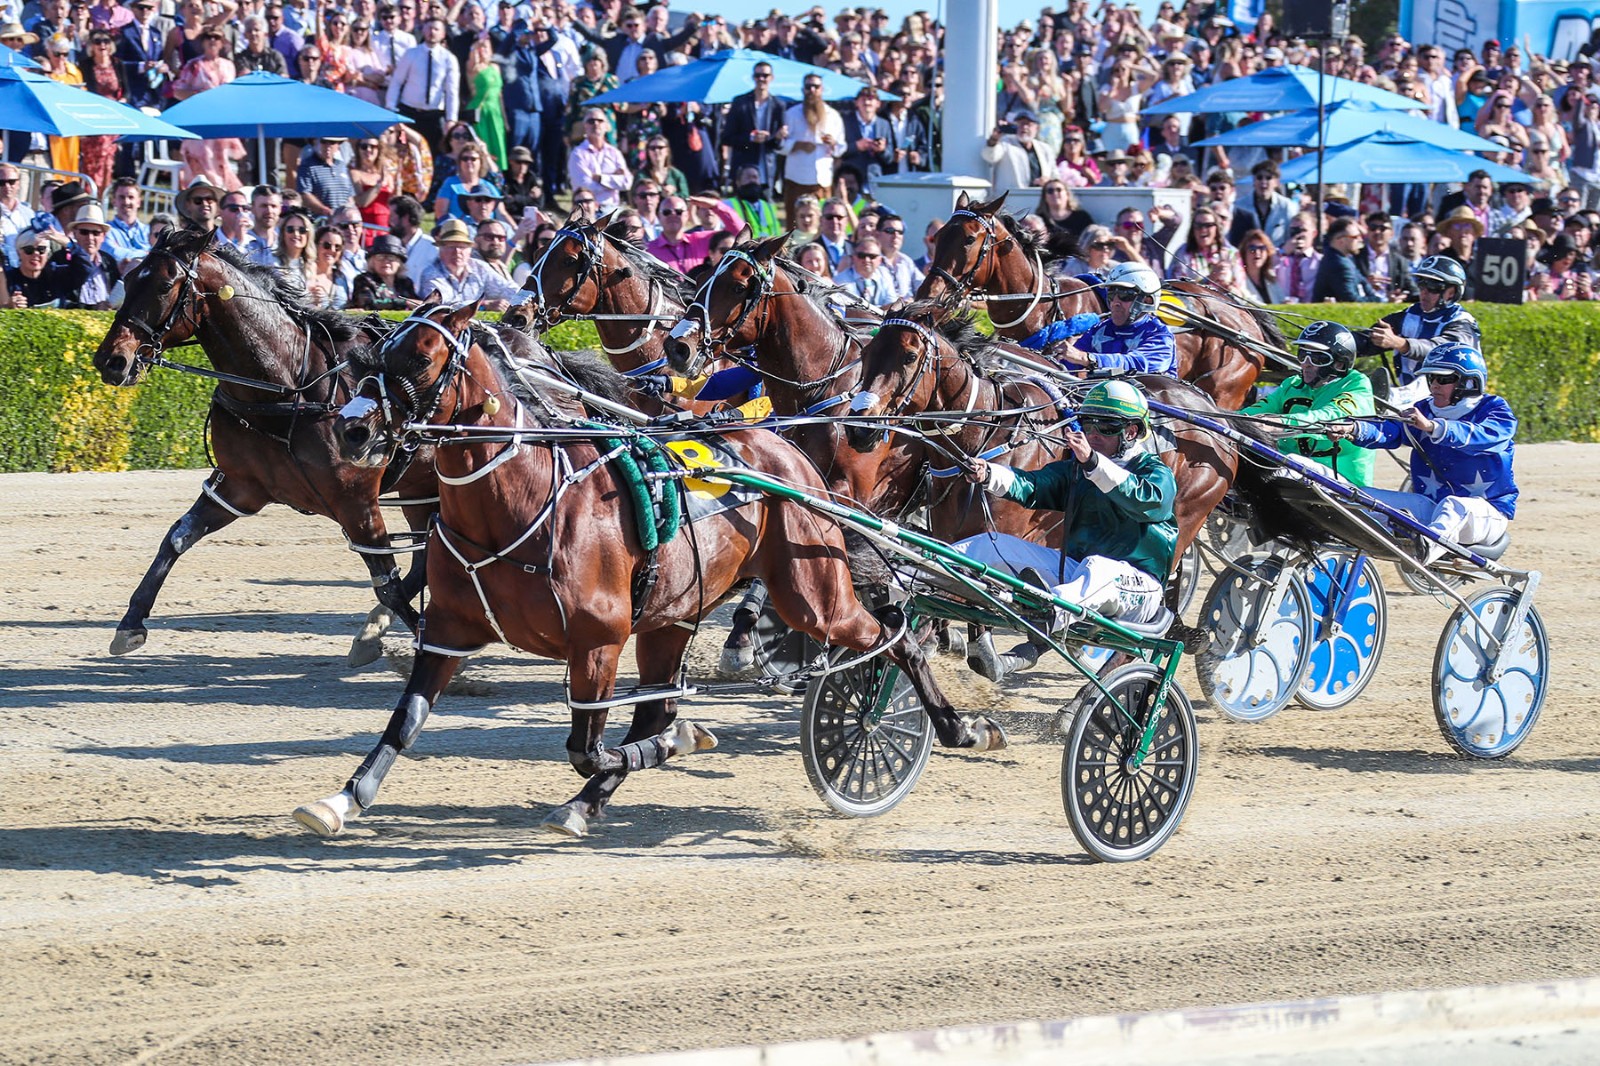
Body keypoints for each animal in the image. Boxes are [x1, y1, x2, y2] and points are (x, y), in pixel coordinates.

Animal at [90, 228, 435, 659]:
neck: (289, 385)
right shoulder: (239, 488)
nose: (111, 360)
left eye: (165, 285)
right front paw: (131, 623)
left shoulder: (355, 500)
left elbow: (387, 581)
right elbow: (177, 537)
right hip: (420, 490)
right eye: (128, 278)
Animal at [294, 299, 1004, 838]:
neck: (516, 499)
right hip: (672, 615)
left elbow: (587, 747)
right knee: (658, 705)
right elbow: (404, 721)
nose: (353, 430)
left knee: (893, 635)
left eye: (420, 357)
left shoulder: (598, 639)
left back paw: (954, 724)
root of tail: (790, 453)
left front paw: (684, 739)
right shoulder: (449, 629)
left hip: (810, 593)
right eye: (373, 357)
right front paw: (341, 800)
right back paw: (589, 802)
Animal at [921, 188, 1280, 408]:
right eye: (939, 235)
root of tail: (1244, 313)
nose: (928, 295)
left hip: (1224, 387)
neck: (1045, 307)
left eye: (969, 239)